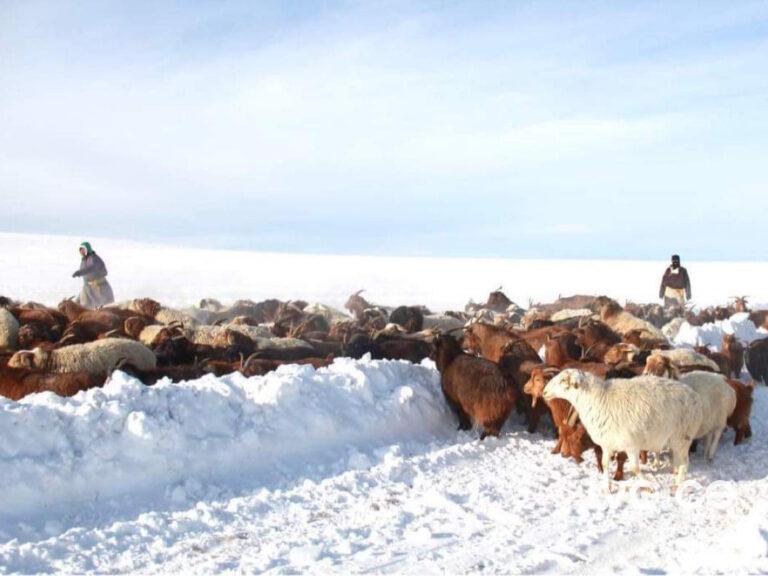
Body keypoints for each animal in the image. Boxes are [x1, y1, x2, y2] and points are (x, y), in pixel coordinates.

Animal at [540, 368, 704, 482]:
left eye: (563, 381)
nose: (544, 391)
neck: (598, 399)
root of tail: (694, 396)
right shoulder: (607, 444)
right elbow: (605, 464)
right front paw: (607, 488)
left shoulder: (631, 444)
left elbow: (635, 468)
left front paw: (649, 484)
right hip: (675, 441)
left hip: (682, 438)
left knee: (685, 465)